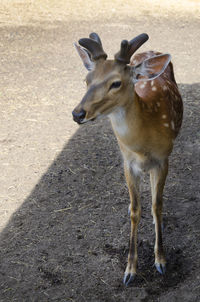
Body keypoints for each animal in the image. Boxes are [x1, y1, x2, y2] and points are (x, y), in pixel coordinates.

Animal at [72, 32, 183, 286]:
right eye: (86, 79)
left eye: (116, 83)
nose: (78, 113)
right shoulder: (127, 163)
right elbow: (134, 210)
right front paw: (130, 270)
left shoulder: (163, 159)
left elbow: (156, 205)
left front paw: (161, 261)